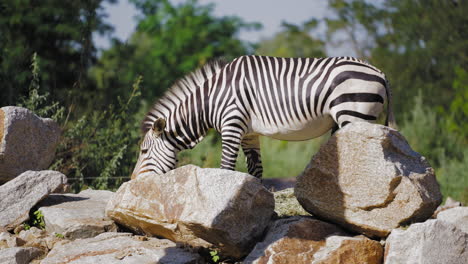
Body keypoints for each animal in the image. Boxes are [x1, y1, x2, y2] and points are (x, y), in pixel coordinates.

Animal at [131, 55, 394, 179]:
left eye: (144, 151)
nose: (132, 181)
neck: (212, 98)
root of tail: (380, 72)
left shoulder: (232, 124)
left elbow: (227, 167)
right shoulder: (249, 133)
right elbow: (255, 170)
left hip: (354, 114)